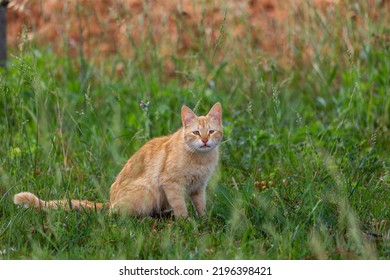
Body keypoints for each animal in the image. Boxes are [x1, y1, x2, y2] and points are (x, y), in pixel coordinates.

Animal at [13, 103, 222, 219]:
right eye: (196, 132)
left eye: (211, 131)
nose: (205, 140)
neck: (200, 159)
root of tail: (110, 202)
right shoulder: (172, 184)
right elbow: (181, 207)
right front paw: (187, 223)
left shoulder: (198, 187)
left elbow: (201, 206)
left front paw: (203, 220)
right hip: (146, 193)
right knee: (119, 216)